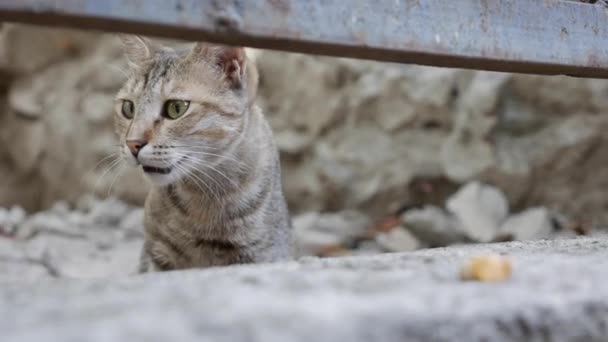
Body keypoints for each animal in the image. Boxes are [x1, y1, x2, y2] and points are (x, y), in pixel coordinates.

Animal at [114, 36, 294, 272]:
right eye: (128, 108)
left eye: (176, 108)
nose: (133, 143)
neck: (206, 196)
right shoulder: (155, 254)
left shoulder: (263, 254)